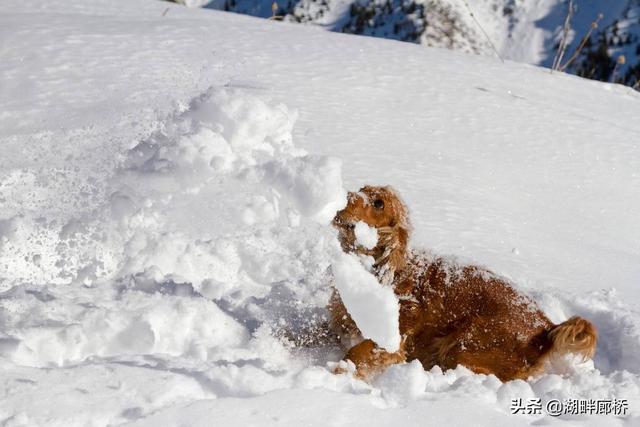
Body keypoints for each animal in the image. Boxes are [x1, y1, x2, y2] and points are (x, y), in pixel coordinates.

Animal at [332, 186, 596, 382]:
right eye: (362, 189)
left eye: (379, 203)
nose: (343, 196)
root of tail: (546, 328)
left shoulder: (392, 339)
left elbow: (356, 352)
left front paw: (338, 373)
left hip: (465, 341)